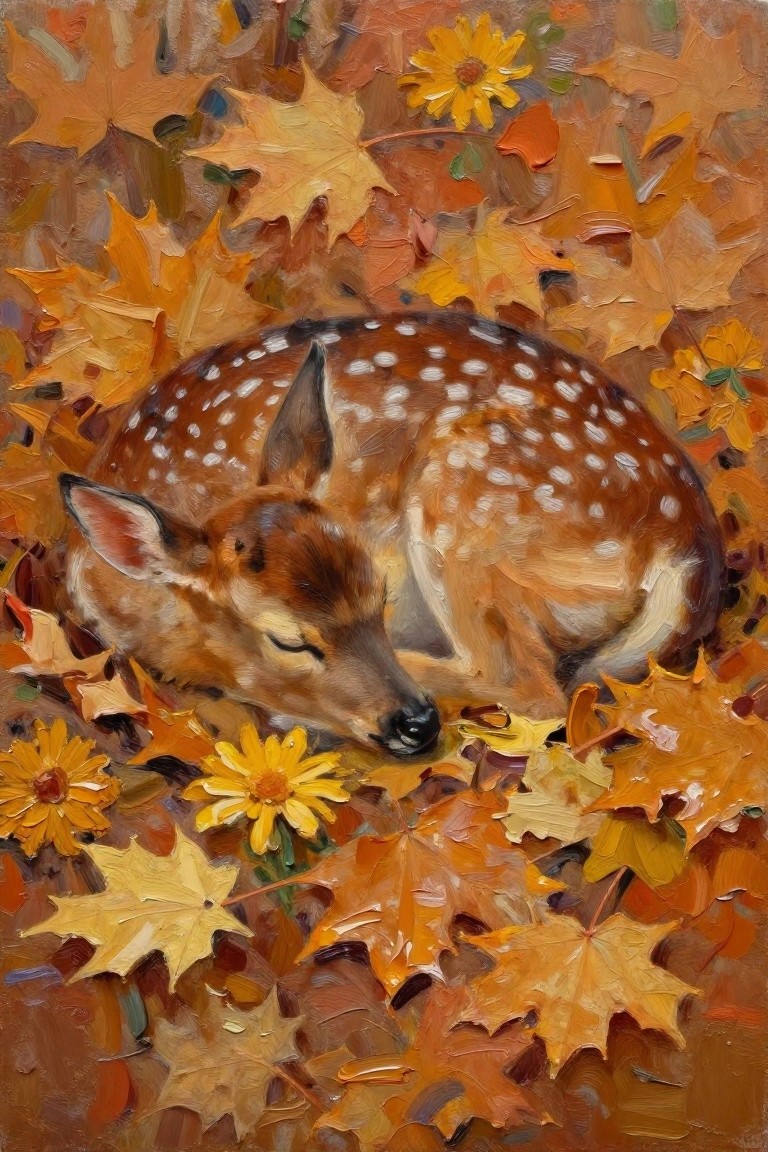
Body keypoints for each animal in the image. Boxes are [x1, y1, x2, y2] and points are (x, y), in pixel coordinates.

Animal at [58, 312, 725, 757]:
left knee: (530, 686)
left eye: (380, 597)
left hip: (464, 501)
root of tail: (684, 543)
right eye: (287, 639)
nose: (416, 724)